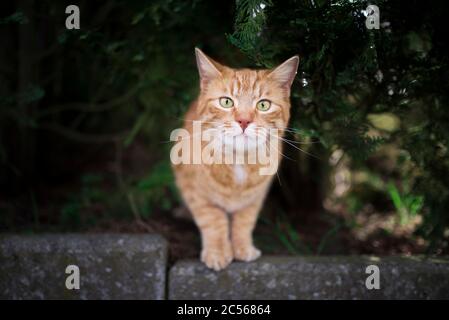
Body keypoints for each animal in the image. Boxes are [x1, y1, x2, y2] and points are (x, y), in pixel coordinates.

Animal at [172, 48, 298, 272]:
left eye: (263, 105)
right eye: (226, 102)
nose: (244, 121)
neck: (239, 160)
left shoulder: (254, 199)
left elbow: (244, 222)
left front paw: (242, 248)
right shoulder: (196, 193)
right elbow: (213, 221)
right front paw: (218, 252)